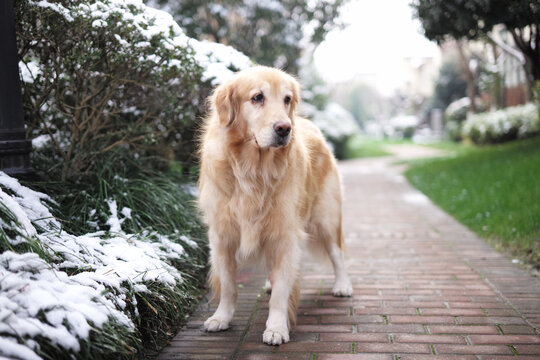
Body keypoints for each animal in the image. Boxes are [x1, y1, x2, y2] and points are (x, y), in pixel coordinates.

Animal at [196, 66, 352, 344]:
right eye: (257, 97)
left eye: (287, 99)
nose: (284, 128)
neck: (253, 170)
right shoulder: (221, 235)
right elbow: (228, 285)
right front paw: (221, 317)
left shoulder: (286, 234)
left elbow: (281, 292)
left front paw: (277, 328)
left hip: (326, 218)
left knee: (337, 254)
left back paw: (342, 285)